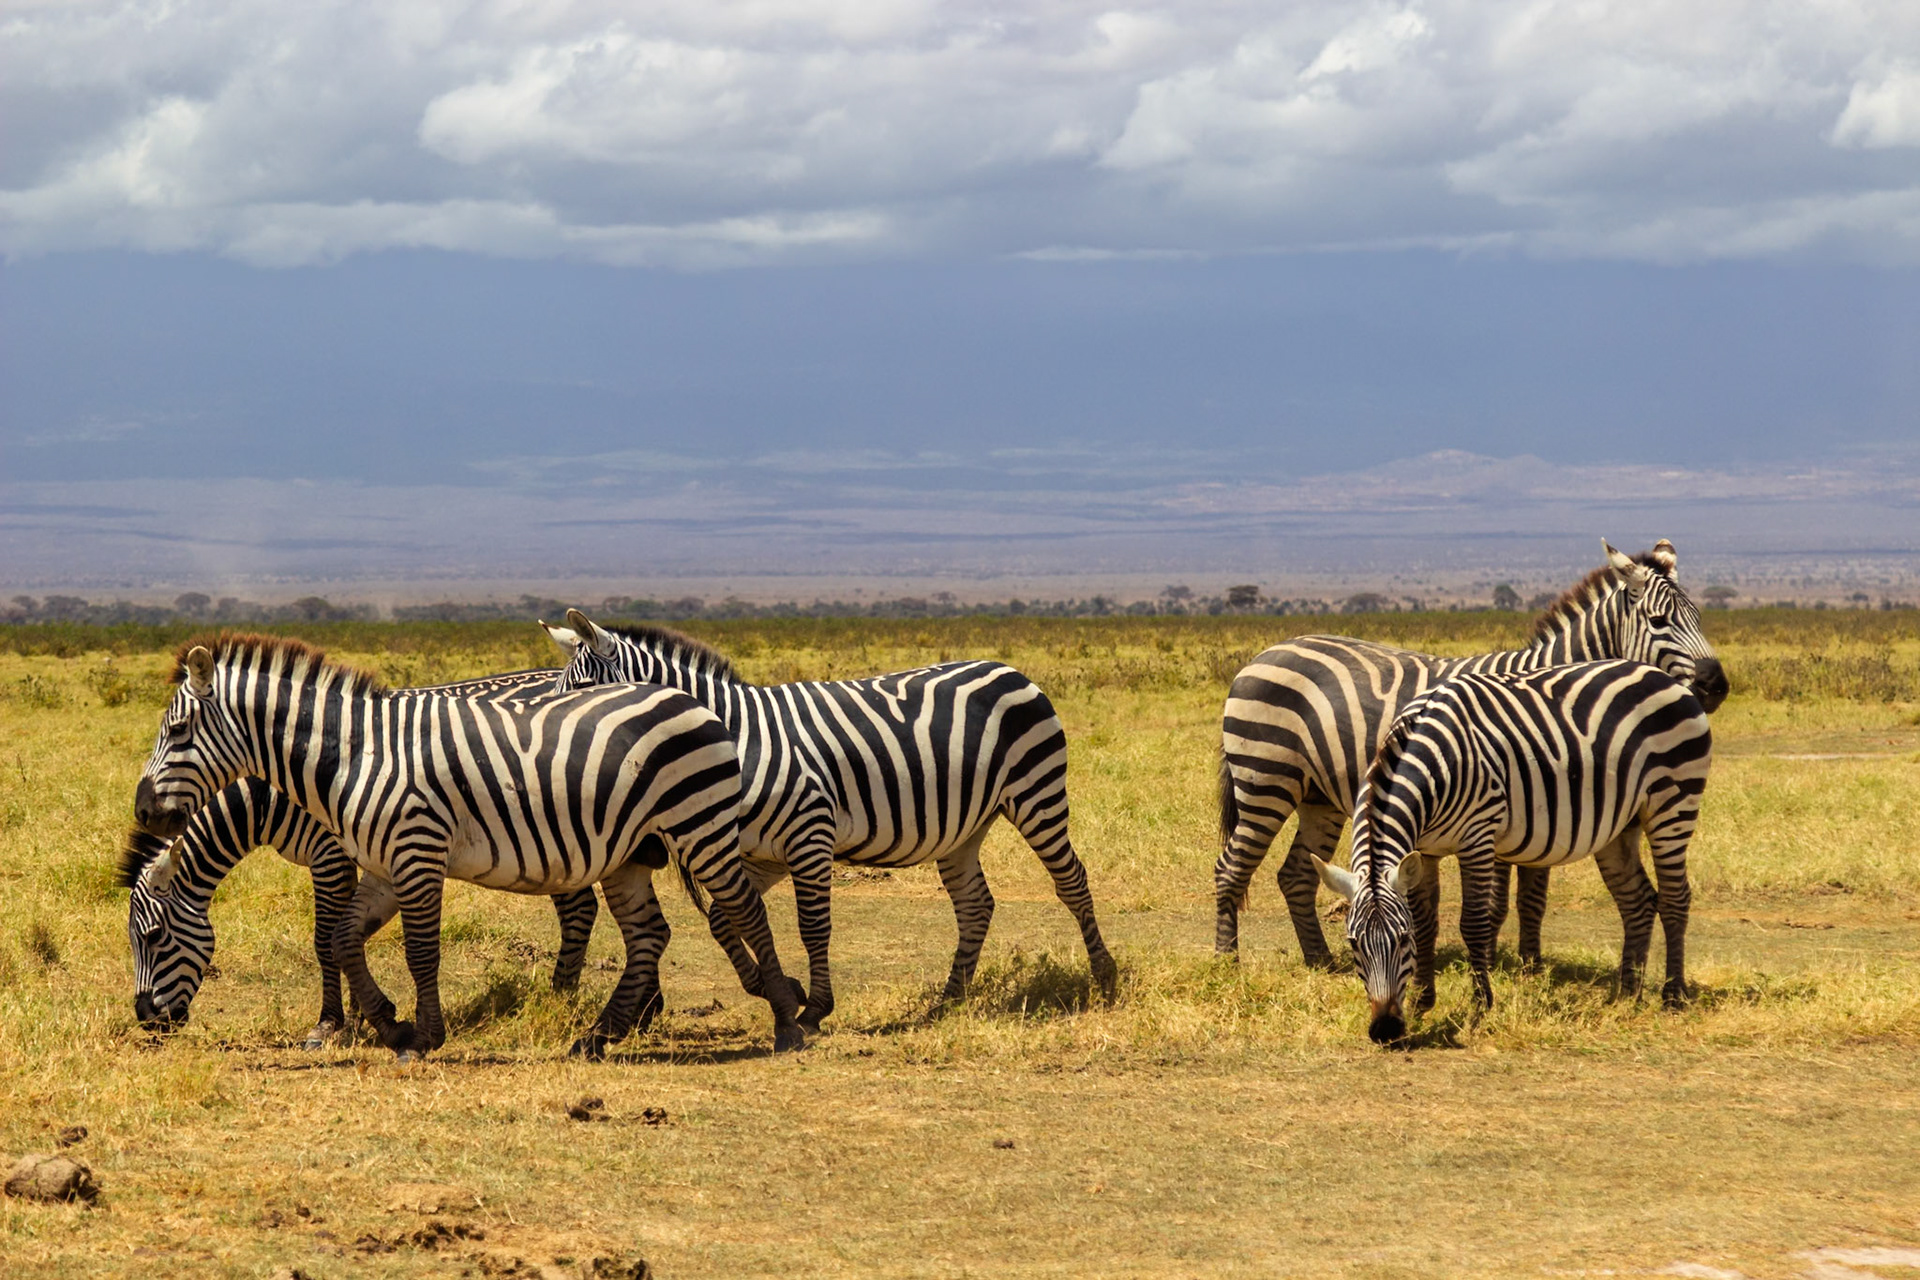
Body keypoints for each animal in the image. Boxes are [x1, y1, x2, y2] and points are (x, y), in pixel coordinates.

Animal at [118, 776, 601, 1048]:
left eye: (154, 936)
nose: (146, 1019)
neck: (272, 799)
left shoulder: (330, 855)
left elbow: (324, 941)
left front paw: (333, 1022)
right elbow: (349, 936)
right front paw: (364, 1015)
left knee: (580, 906)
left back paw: (560, 999)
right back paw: (562, 995)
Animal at [543, 609, 1118, 1029]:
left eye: (583, 692)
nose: (558, 747)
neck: (737, 738)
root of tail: (1008, 668)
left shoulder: (809, 834)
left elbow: (812, 925)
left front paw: (815, 1007)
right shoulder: (759, 851)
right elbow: (724, 918)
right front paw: (779, 989)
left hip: (1037, 792)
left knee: (1072, 880)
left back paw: (1105, 980)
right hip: (964, 828)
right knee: (976, 905)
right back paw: (948, 1001)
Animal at [1217, 539, 1727, 981]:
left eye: (1700, 617)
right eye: (1659, 621)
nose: (1716, 685)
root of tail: (1265, 653)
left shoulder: (1544, 804)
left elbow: (1533, 898)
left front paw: (1530, 965)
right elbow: (1499, 902)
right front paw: (1500, 966)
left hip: (1317, 797)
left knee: (1296, 875)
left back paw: (1319, 960)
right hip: (1266, 781)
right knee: (1231, 867)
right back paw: (1228, 962)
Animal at [1315, 659, 1714, 1043]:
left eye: (1401, 940)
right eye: (1353, 944)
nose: (1385, 1030)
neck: (1434, 762)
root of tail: (1662, 675)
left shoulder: (1477, 837)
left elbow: (1473, 923)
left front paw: (1480, 1005)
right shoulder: (1424, 851)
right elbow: (1427, 922)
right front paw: (1421, 1002)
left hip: (1673, 804)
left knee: (1675, 897)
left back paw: (1673, 995)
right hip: (1620, 826)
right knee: (1638, 901)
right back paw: (1626, 994)